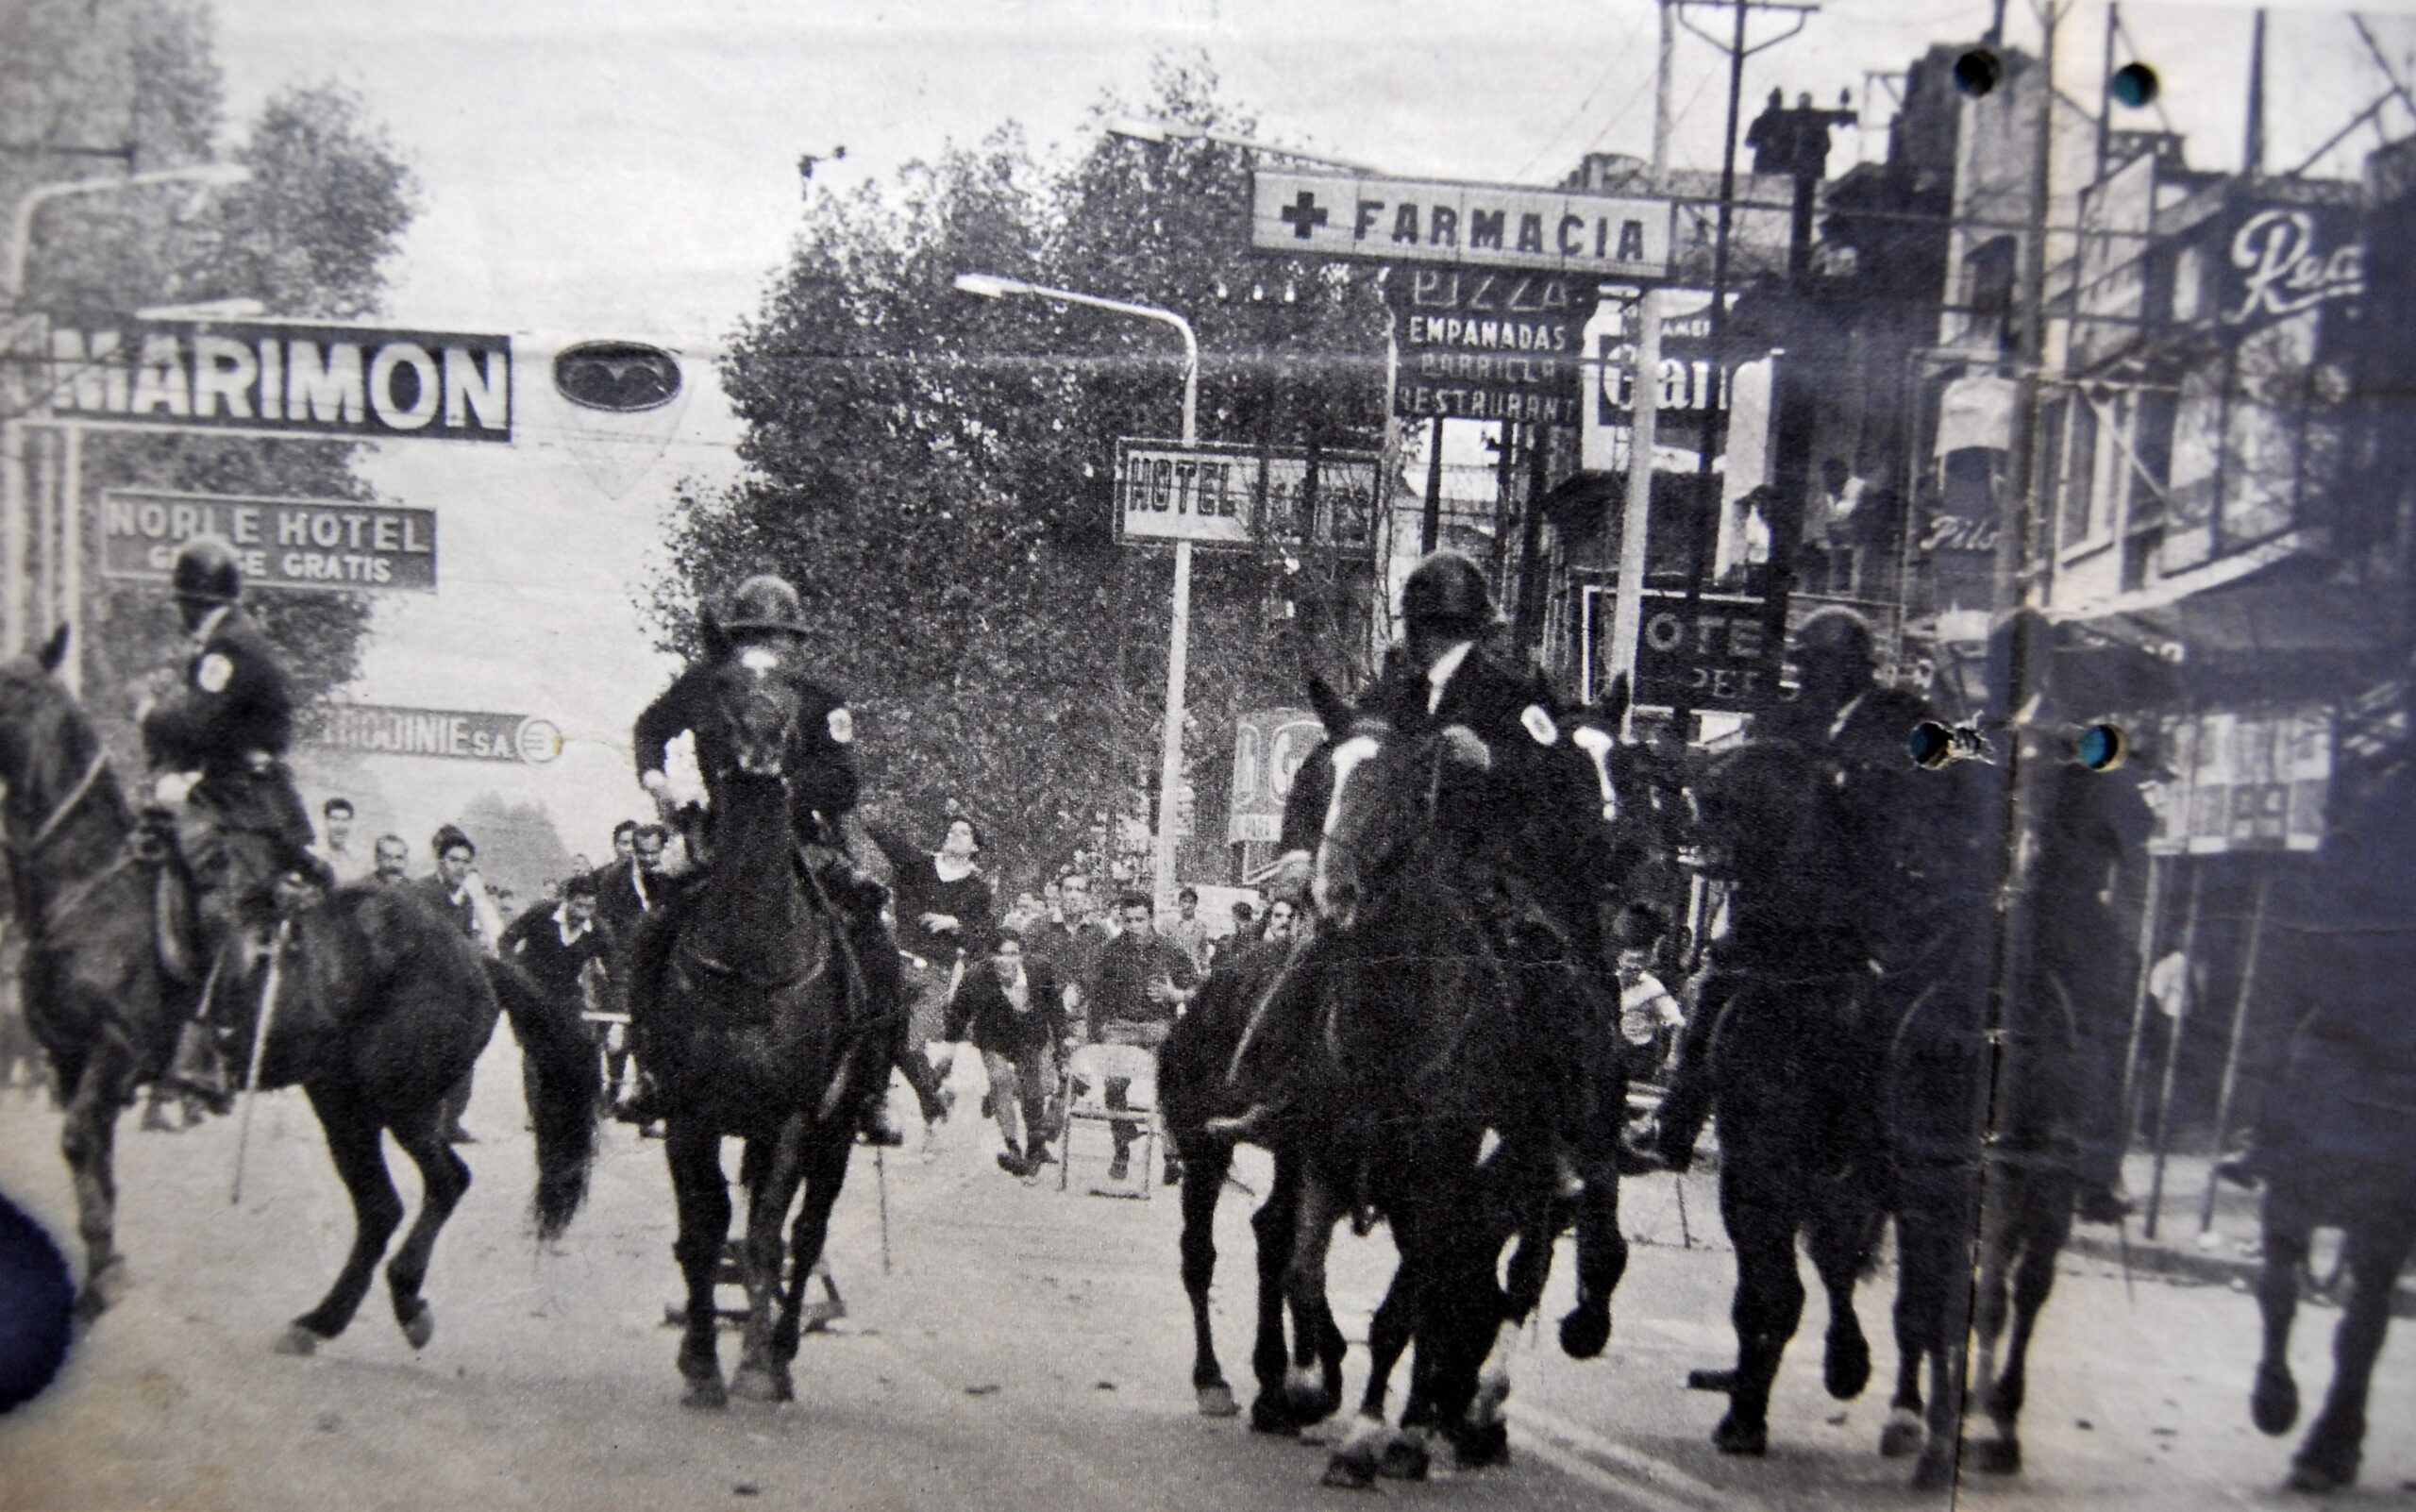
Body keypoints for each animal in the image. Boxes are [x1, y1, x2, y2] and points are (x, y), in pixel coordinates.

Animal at [0, 628, 598, 1342]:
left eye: (14, 688)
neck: (93, 890)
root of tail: (474, 959)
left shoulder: (113, 1054)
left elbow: (80, 1144)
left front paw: (105, 1282)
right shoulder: (69, 1063)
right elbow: (92, 1163)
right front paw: (101, 1273)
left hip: (400, 1099)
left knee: (444, 1182)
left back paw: (405, 1299)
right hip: (341, 1100)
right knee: (380, 1206)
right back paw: (322, 1319)